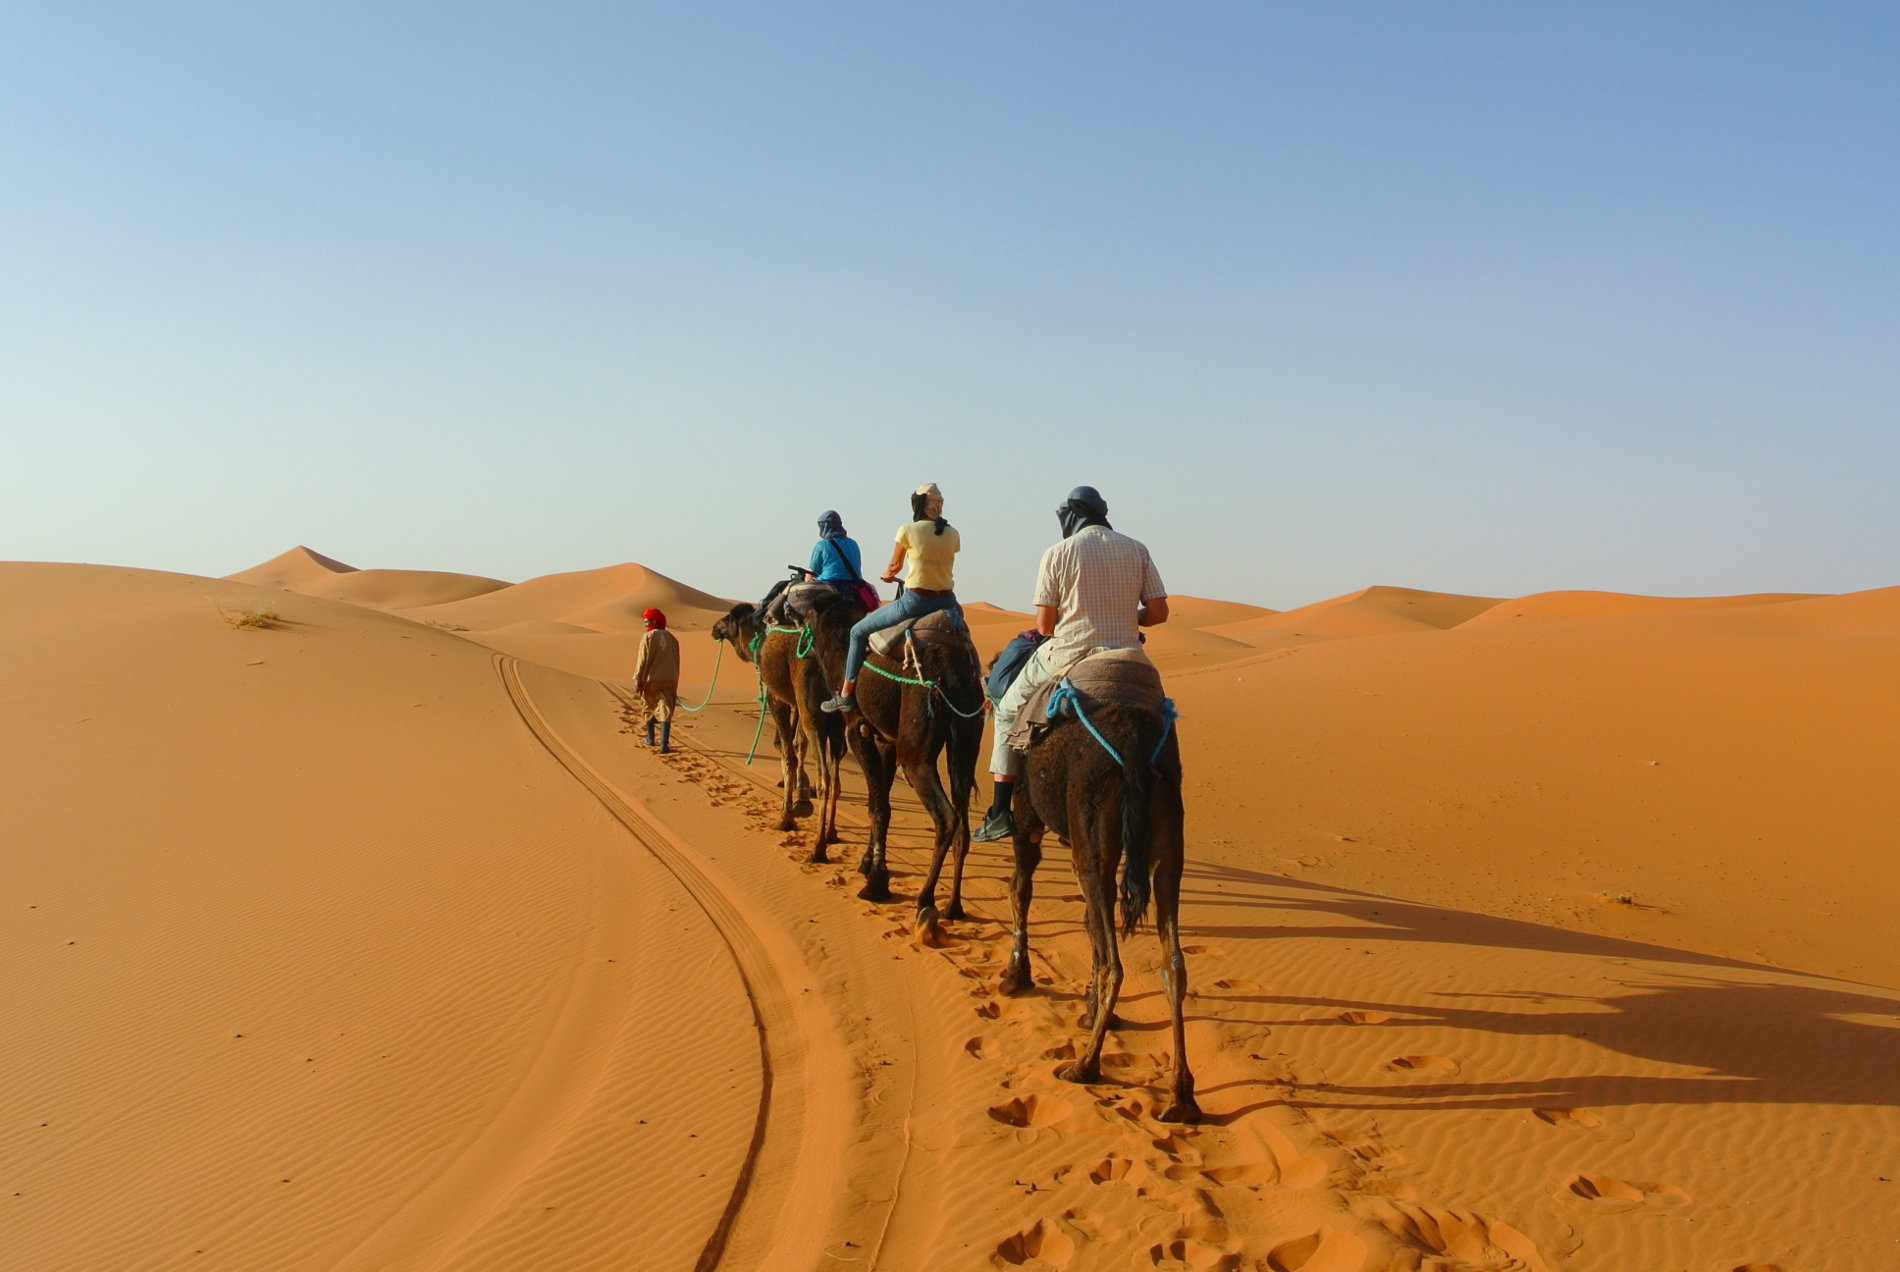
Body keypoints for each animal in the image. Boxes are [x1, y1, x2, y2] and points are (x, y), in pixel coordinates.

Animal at [710, 597, 866, 863]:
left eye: (729, 618)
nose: (714, 628)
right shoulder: (796, 702)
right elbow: (798, 744)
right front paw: (800, 797)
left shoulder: (778, 699)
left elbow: (787, 753)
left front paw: (786, 815)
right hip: (838, 714)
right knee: (836, 774)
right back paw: (831, 833)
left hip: (812, 706)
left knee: (824, 776)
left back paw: (818, 849)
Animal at [801, 585, 980, 924]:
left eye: (806, 614)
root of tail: (951, 675)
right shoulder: (885, 740)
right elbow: (880, 800)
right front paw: (868, 865)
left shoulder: (858, 729)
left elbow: (877, 807)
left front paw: (875, 884)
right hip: (966, 740)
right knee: (963, 823)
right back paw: (954, 907)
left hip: (916, 752)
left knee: (946, 817)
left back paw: (925, 901)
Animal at [1003, 680, 1193, 1117]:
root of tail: (1135, 749)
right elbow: (1090, 922)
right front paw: (1090, 1011)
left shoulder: (1027, 814)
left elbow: (1020, 887)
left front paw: (1016, 976)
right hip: (1166, 828)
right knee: (1173, 963)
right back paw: (1181, 1097)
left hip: (1091, 827)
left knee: (1115, 964)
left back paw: (1084, 1066)